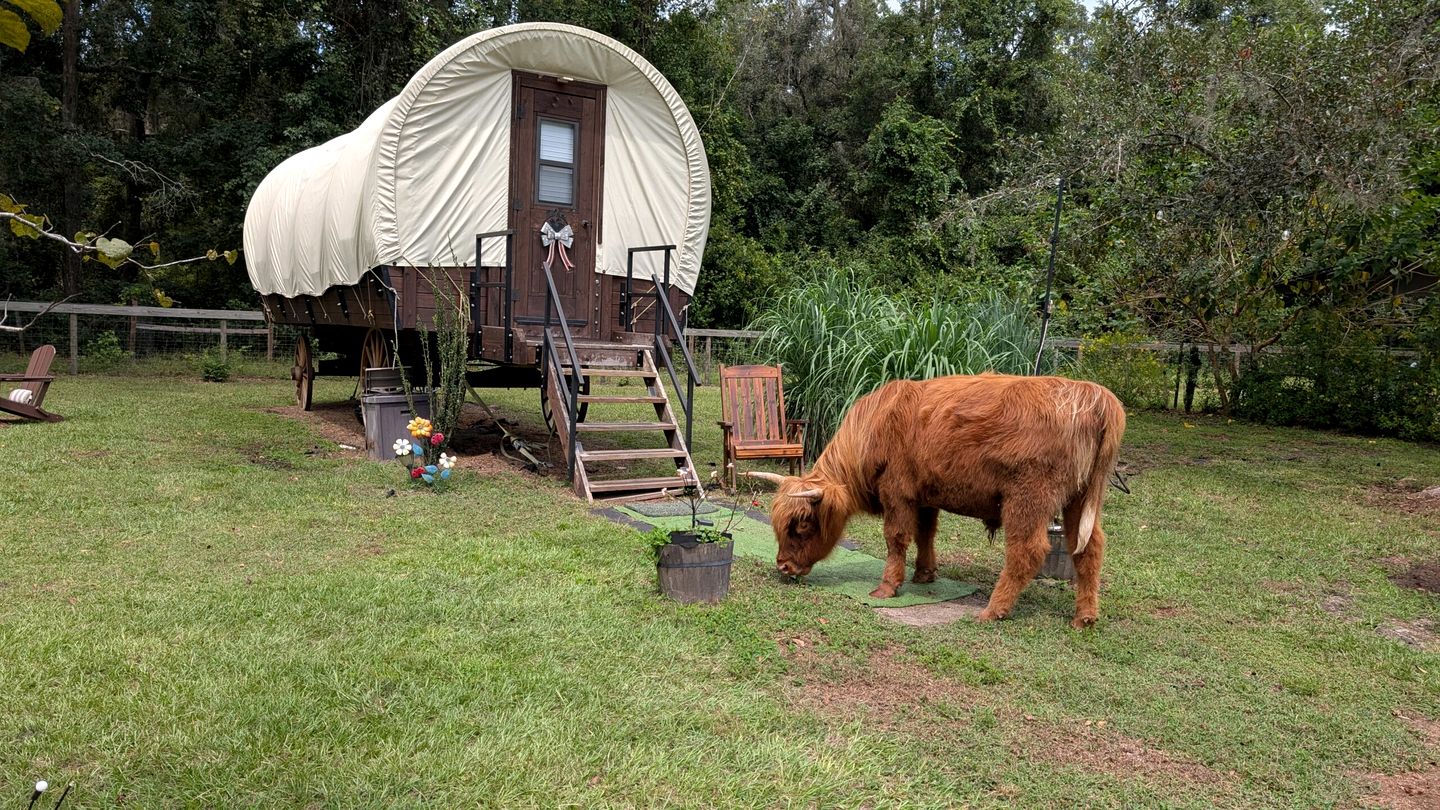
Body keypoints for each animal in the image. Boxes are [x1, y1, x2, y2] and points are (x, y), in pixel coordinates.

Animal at [749, 372, 1125, 629]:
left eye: (802, 524)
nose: (783, 566)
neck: (874, 428)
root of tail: (1091, 394)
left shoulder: (897, 493)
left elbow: (897, 538)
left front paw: (887, 587)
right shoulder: (925, 495)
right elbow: (926, 534)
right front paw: (924, 574)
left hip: (1028, 498)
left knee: (1027, 551)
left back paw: (993, 610)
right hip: (1079, 499)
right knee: (1089, 549)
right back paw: (1085, 617)